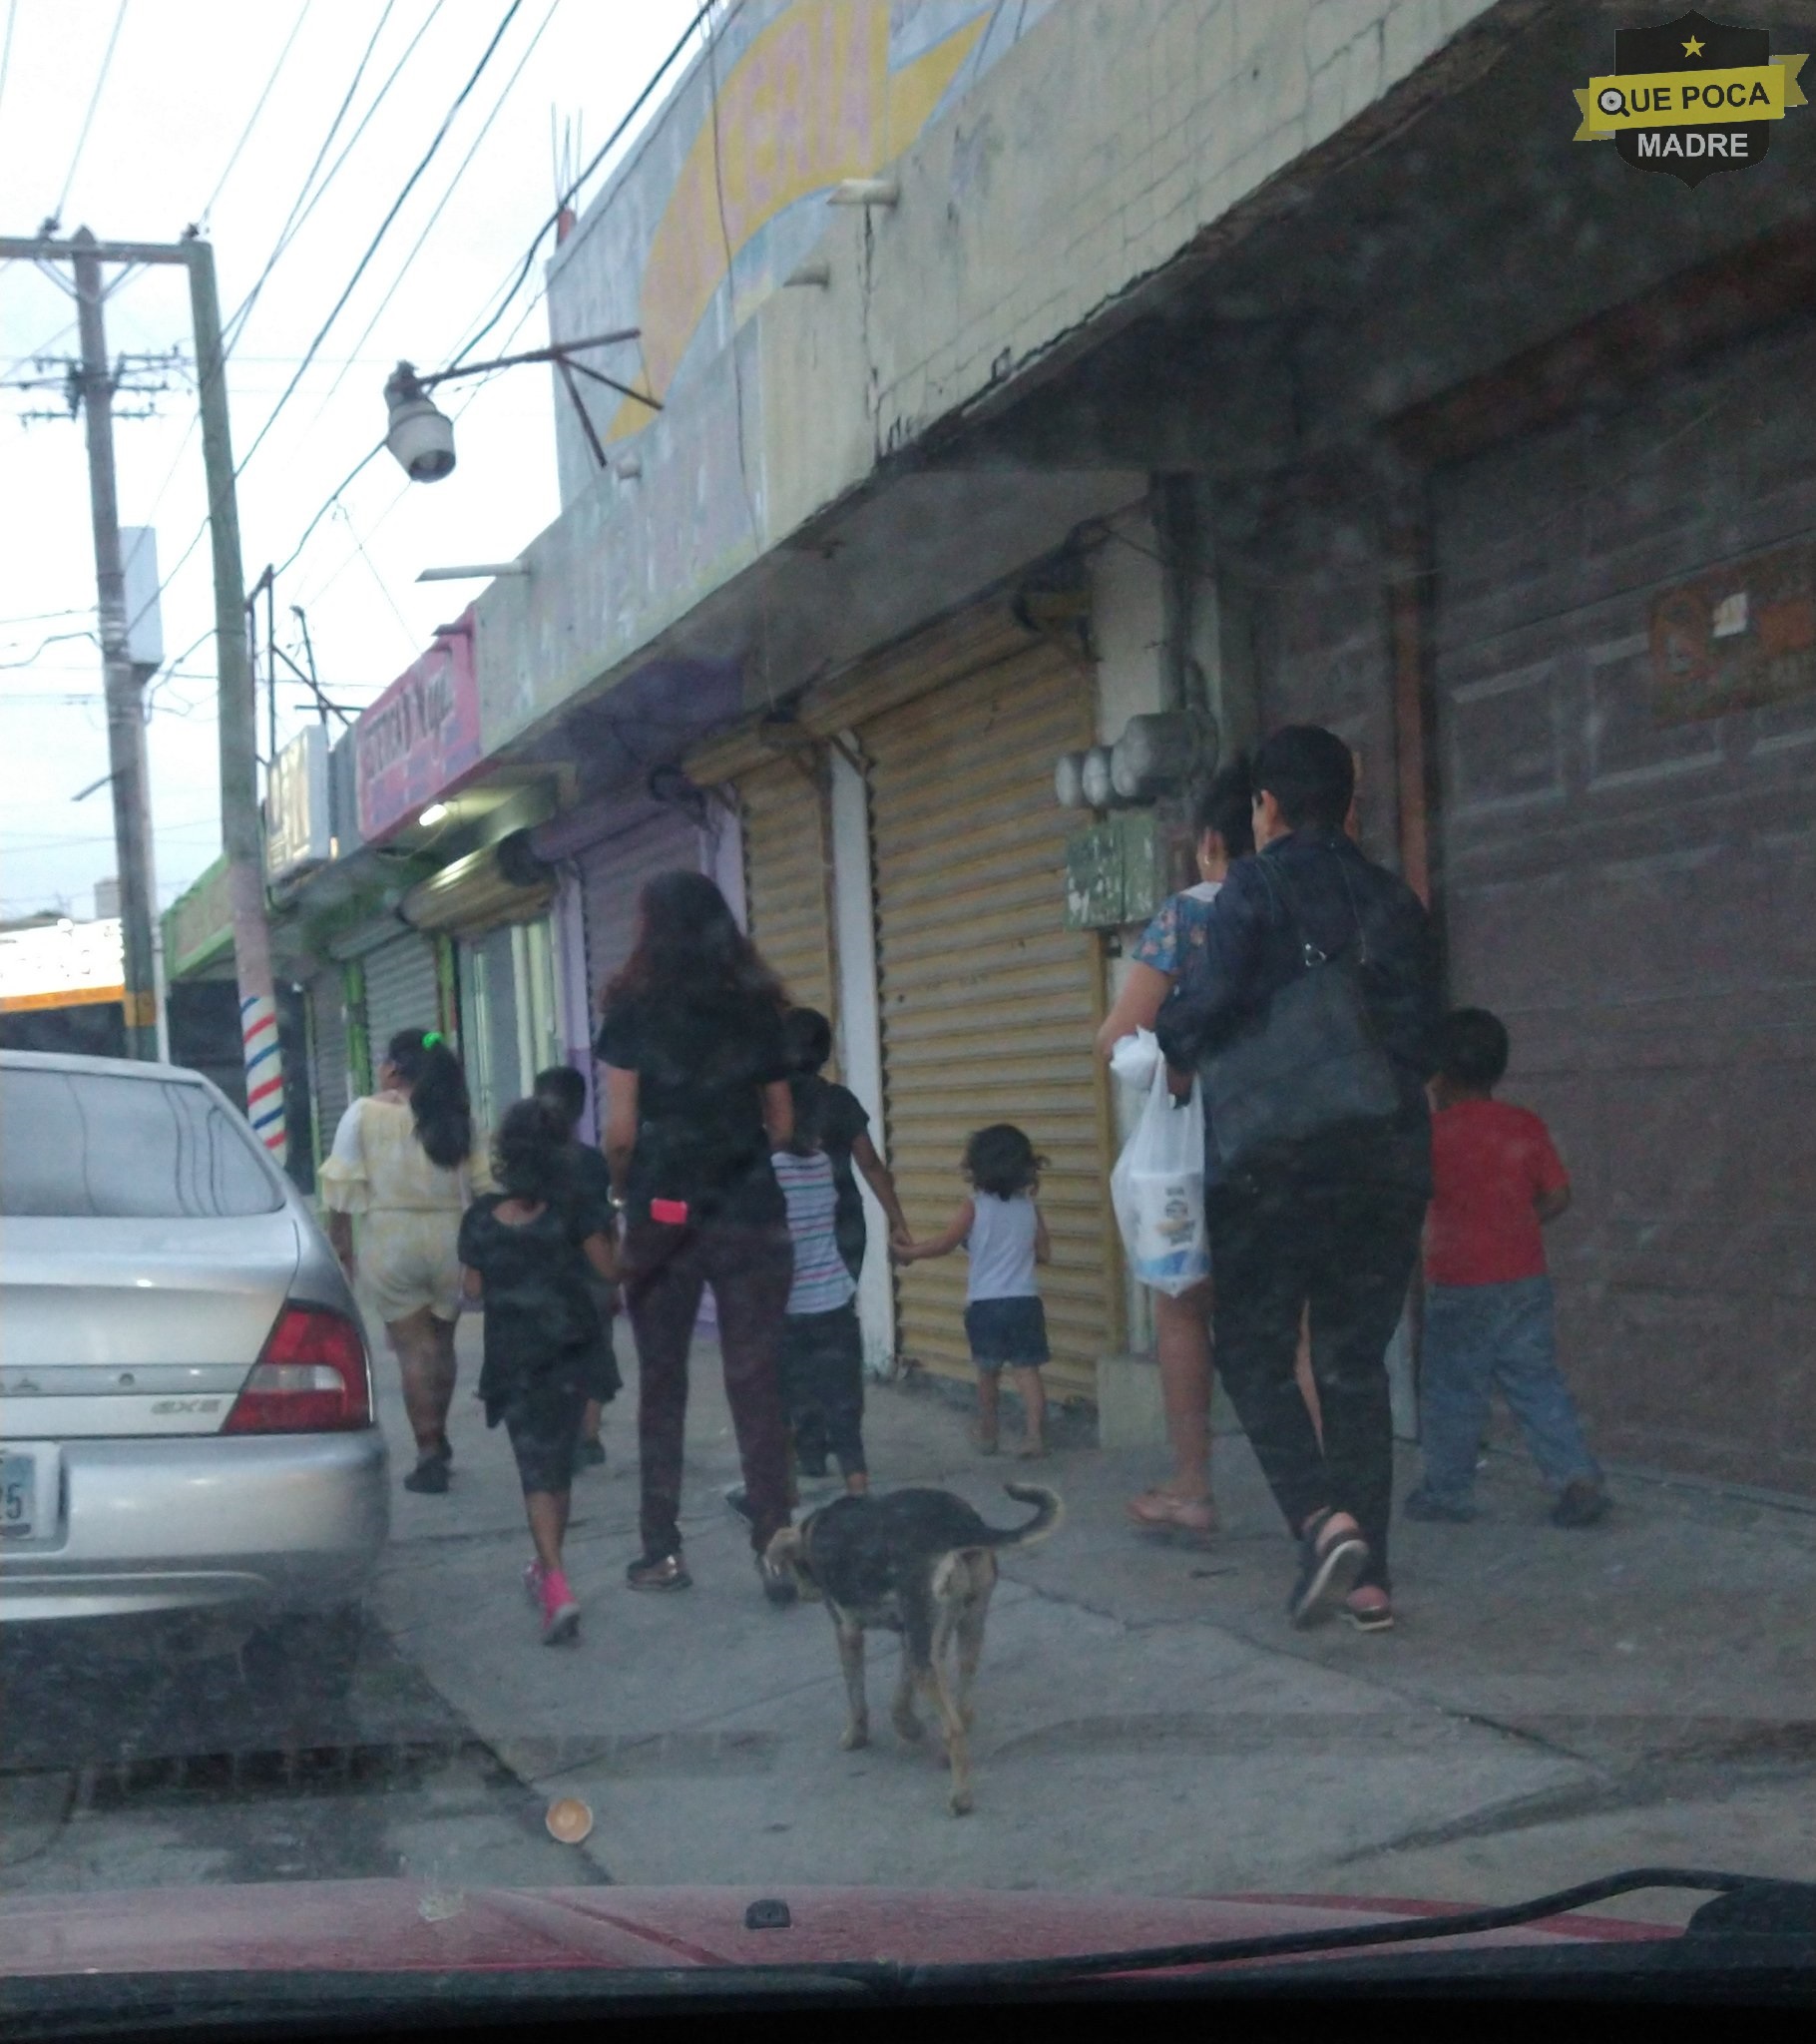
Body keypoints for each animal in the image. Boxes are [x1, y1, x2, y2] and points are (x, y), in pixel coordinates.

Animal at [763, 1487, 1062, 1806]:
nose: (803, 1594)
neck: (813, 1529)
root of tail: (962, 1524)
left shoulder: (848, 1632)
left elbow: (856, 1698)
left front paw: (856, 1736)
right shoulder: (911, 1638)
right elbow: (899, 1701)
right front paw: (910, 1727)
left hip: (928, 1649)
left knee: (953, 1729)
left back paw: (960, 1797)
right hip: (966, 1627)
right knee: (964, 1701)